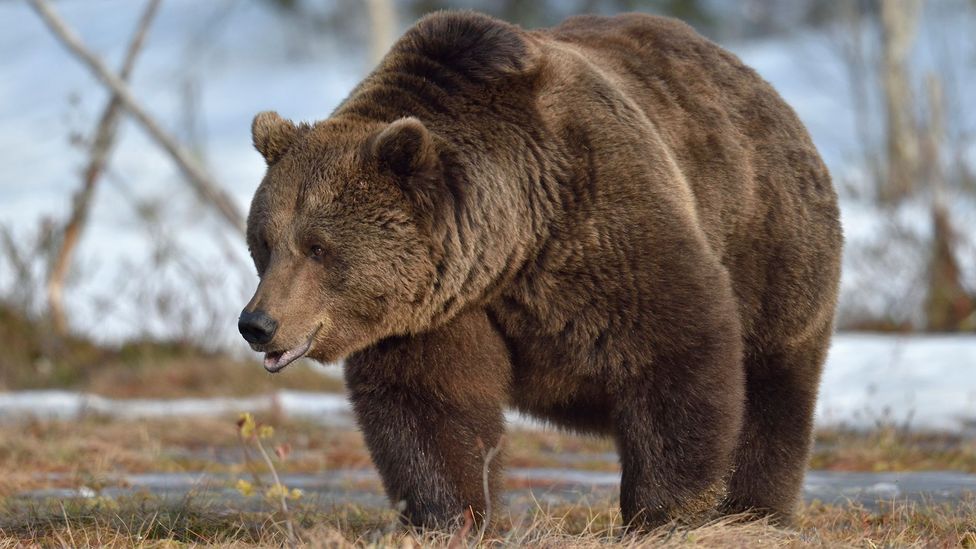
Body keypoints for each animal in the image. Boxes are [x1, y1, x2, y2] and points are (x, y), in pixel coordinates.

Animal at [240, 10, 844, 528]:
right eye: (265, 242)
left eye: (317, 247)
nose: (257, 323)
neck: (508, 243)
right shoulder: (438, 308)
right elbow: (430, 406)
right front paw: (453, 517)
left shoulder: (601, 220)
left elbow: (675, 350)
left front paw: (667, 512)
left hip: (770, 246)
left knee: (772, 390)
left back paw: (754, 512)